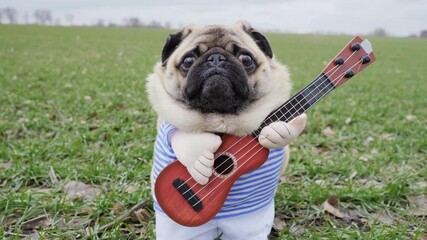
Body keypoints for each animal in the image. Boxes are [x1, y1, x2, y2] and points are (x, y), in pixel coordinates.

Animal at [148, 21, 308, 240]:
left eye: (246, 59)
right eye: (188, 60)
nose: (216, 58)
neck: (220, 119)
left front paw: (279, 132)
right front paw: (197, 152)